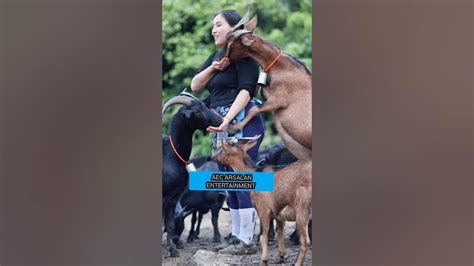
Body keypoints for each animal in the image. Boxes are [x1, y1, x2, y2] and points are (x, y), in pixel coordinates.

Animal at [162, 92, 223, 256]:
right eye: (196, 111)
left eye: (205, 105)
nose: (220, 120)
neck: (172, 155)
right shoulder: (166, 196)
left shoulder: (173, 197)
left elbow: (169, 224)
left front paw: (173, 250)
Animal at [212, 136, 312, 264]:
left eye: (221, 148)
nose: (212, 156)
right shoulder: (278, 212)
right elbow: (279, 233)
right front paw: (280, 256)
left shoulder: (263, 210)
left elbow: (262, 236)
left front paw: (263, 260)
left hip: (302, 208)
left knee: (305, 240)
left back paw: (297, 263)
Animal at [224, 15, 312, 161]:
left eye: (231, 45)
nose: (223, 59)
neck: (281, 66)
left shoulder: (279, 99)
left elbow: (254, 109)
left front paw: (234, 128)